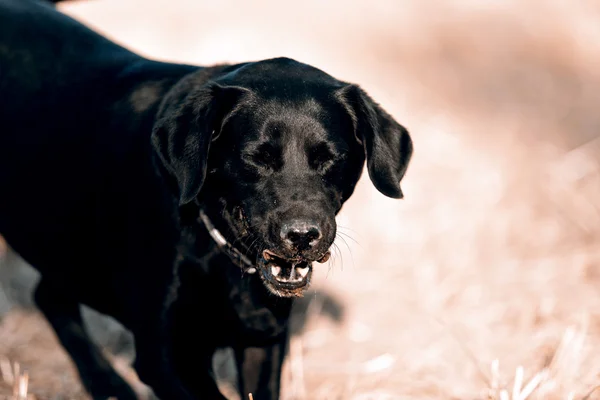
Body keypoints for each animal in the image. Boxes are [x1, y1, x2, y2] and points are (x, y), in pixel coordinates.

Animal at [0, 0, 412, 400]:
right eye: (256, 157)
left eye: (330, 157)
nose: (302, 236)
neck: (219, 252)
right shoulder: (167, 354)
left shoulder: (262, 339)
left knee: (48, 295)